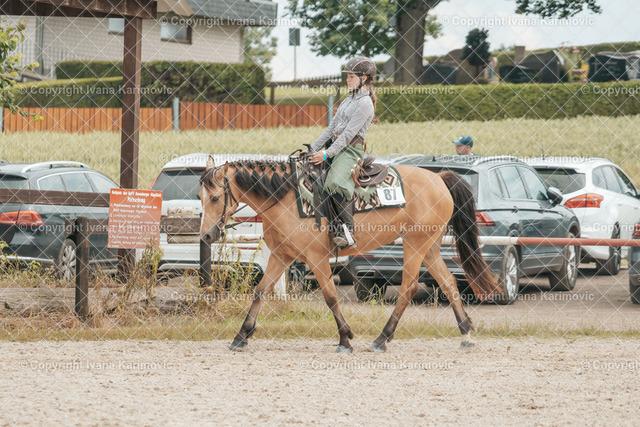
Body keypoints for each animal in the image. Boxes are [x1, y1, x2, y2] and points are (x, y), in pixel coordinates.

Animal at [199, 155, 501, 352]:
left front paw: (344, 339)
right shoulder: (281, 256)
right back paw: (465, 334)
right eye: (201, 198)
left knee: (408, 287)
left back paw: (382, 339)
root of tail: (438, 177)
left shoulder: (316, 258)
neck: (286, 199)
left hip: (415, 244)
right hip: (430, 247)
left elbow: (331, 297)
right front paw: (241, 336)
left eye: (215, 198)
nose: (206, 236)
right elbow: (260, 291)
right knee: (448, 283)